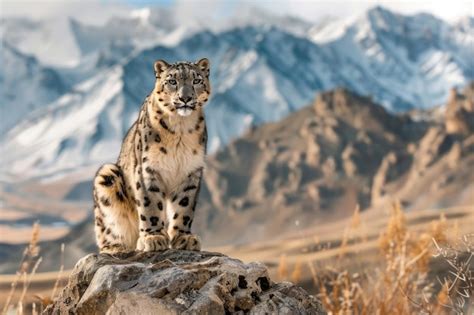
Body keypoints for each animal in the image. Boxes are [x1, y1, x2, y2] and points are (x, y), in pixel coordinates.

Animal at [93, 58, 211, 253]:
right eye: (172, 81)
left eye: (196, 80)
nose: (185, 98)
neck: (180, 128)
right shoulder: (148, 169)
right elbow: (151, 205)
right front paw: (153, 237)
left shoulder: (191, 171)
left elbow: (184, 206)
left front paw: (184, 238)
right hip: (106, 175)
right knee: (107, 232)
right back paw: (116, 247)